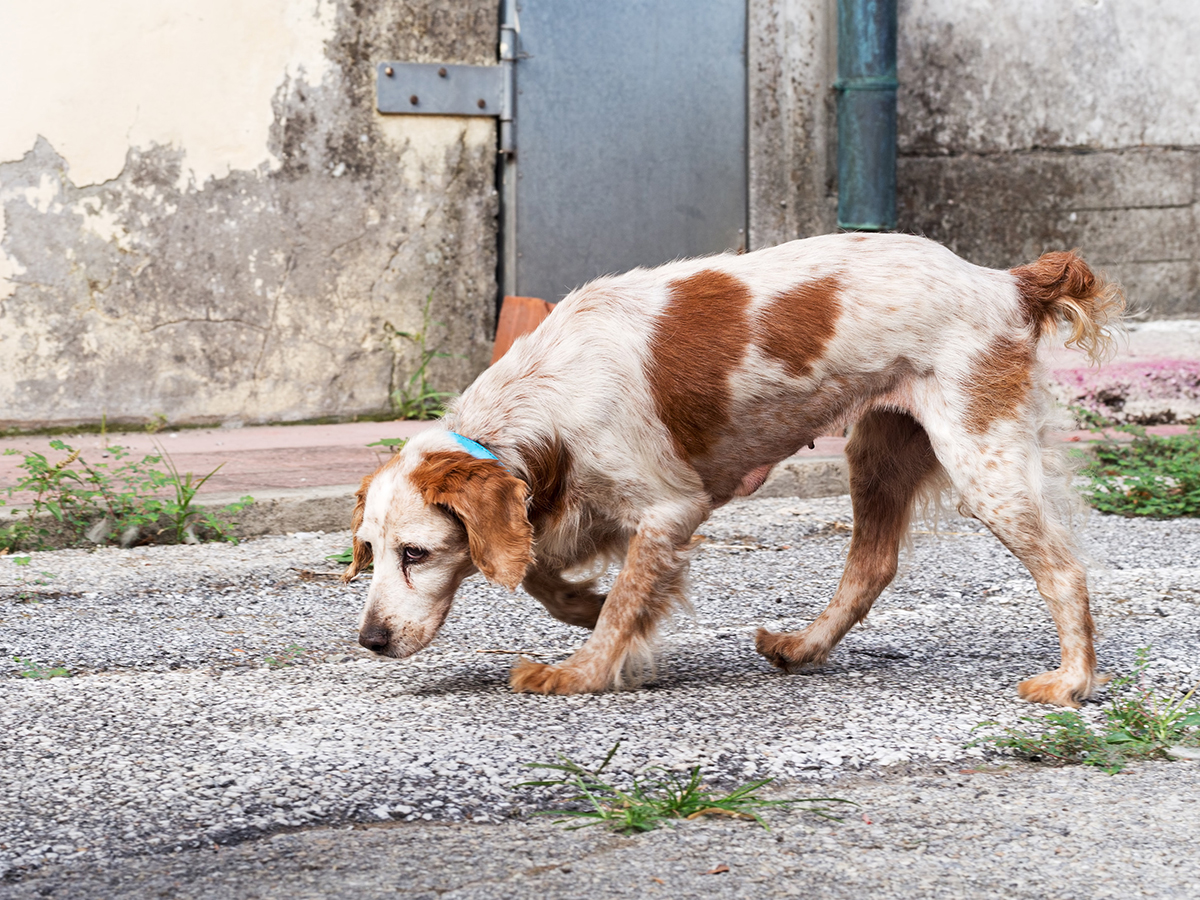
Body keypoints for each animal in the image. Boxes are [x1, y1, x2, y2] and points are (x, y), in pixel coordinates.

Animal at [340, 234, 1123, 710]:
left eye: (417, 554)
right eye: (371, 553)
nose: (370, 640)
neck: (540, 399)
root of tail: (1006, 282)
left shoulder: (669, 508)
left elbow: (621, 601)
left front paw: (583, 669)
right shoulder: (577, 504)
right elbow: (543, 574)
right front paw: (586, 607)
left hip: (982, 464)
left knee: (1064, 570)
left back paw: (1073, 682)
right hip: (878, 453)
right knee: (870, 566)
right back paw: (803, 646)